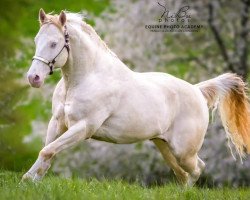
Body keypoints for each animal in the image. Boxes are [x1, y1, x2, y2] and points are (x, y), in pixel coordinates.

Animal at [22, 8, 249, 185]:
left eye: (54, 43)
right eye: (36, 40)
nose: (33, 78)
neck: (83, 80)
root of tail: (197, 91)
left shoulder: (84, 127)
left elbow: (47, 151)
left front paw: (28, 180)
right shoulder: (58, 122)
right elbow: (47, 151)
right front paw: (30, 180)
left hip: (183, 151)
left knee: (197, 169)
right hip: (164, 146)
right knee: (182, 174)